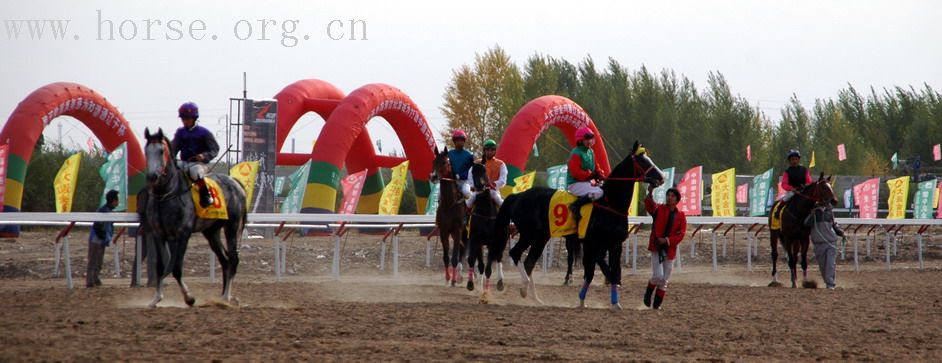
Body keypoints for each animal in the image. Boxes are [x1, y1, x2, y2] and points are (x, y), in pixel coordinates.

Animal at [140, 128, 249, 308]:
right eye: (146, 151)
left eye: (161, 151)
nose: (152, 177)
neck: (167, 195)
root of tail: (236, 183)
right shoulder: (158, 234)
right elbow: (160, 267)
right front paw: (156, 298)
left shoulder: (183, 234)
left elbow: (177, 269)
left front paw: (189, 298)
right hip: (211, 232)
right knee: (225, 260)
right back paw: (221, 297)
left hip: (232, 227)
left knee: (233, 259)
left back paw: (226, 298)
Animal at [432, 147, 468, 288]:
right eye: (433, 162)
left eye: (444, 162)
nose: (433, 176)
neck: (449, 203)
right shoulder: (444, 231)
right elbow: (446, 257)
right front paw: (448, 278)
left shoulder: (457, 230)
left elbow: (454, 258)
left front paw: (452, 280)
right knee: (463, 250)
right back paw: (460, 276)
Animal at [494, 142, 664, 310]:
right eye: (643, 161)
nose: (661, 177)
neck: (610, 204)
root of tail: (518, 195)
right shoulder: (594, 244)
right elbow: (600, 272)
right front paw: (585, 299)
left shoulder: (614, 244)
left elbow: (610, 272)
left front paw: (613, 302)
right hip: (530, 235)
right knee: (516, 253)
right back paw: (524, 287)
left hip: (540, 238)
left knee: (529, 262)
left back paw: (534, 297)